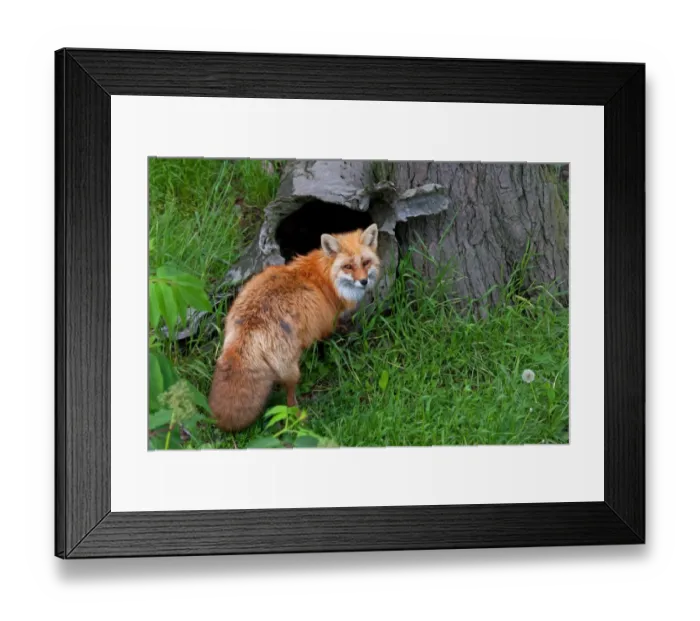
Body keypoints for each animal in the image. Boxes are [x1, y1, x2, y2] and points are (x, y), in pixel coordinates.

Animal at [208, 223, 381, 432]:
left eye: (366, 262)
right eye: (347, 266)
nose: (364, 281)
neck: (324, 279)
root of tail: (250, 326)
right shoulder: (324, 326)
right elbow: (324, 344)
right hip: (291, 370)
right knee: (289, 398)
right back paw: (299, 419)